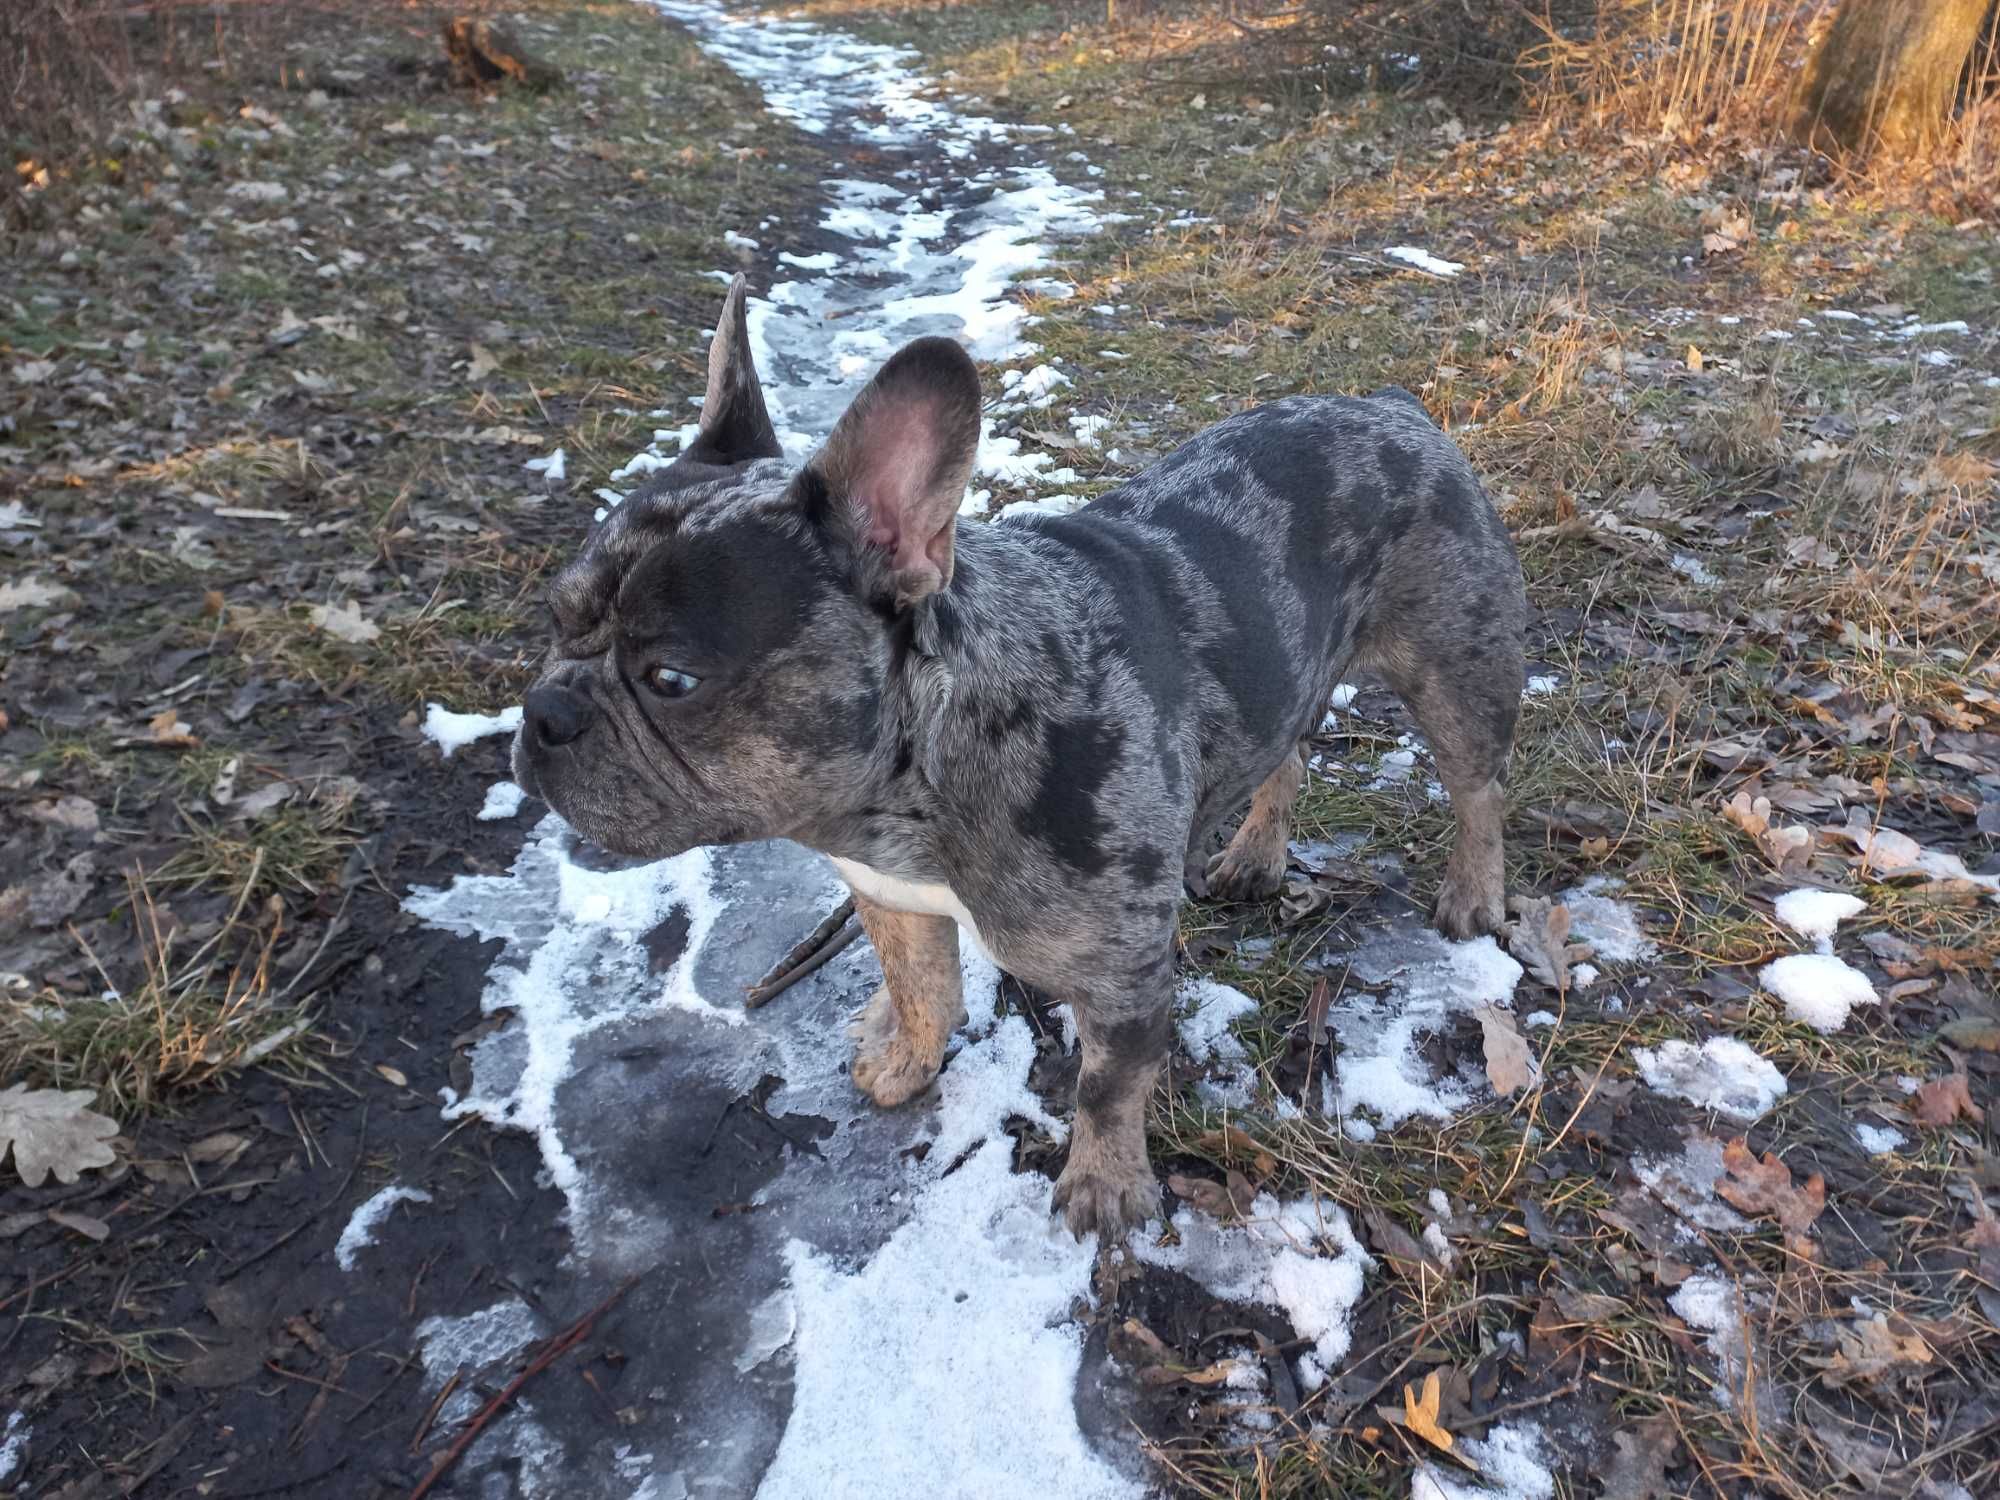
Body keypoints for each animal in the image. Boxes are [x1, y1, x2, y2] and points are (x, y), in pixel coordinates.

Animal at [508, 276, 1520, 1240]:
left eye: (671, 679)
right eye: (554, 617)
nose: (544, 712)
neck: (918, 780)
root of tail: (1394, 408)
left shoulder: (1124, 979)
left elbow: (1107, 1087)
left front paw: (1104, 1188)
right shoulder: (888, 897)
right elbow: (922, 989)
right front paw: (906, 1062)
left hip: (1457, 671)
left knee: (1478, 788)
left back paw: (1473, 891)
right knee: (1288, 751)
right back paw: (1254, 853)